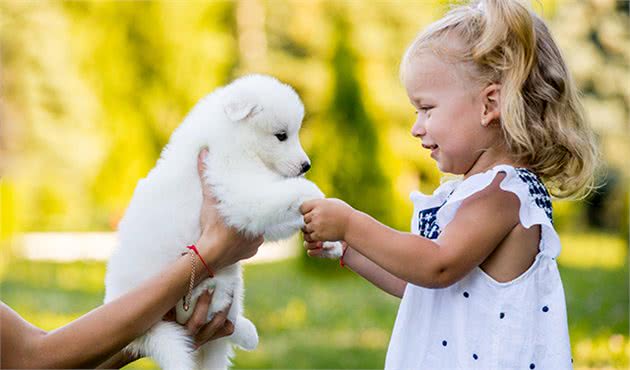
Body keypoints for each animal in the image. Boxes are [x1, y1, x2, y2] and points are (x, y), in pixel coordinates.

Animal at [105, 75, 340, 370]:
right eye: (281, 135)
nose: (306, 165)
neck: (236, 141)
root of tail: (143, 335)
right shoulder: (239, 192)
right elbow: (288, 194)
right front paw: (319, 198)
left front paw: (329, 240)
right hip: (208, 289)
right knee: (216, 323)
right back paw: (245, 333)